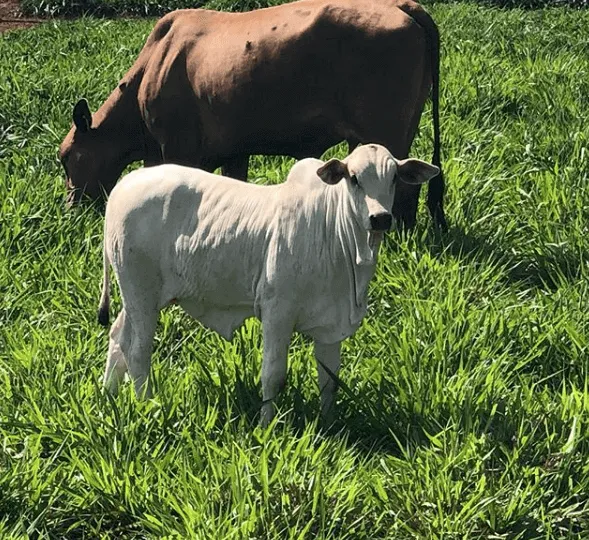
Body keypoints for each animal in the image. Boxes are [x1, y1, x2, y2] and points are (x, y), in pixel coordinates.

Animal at [58, 0, 446, 228]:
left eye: (67, 157)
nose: (70, 205)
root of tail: (400, 6)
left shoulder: (176, 148)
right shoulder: (234, 150)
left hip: (385, 133)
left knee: (402, 186)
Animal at [96, 144, 436, 426]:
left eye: (394, 178)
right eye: (354, 178)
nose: (380, 218)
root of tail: (124, 185)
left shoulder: (330, 324)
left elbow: (329, 381)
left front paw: (329, 426)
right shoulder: (277, 312)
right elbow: (273, 376)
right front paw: (266, 426)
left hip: (137, 296)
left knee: (118, 337)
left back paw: (109, 395)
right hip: (141, 292)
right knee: (138, 351)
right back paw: (147, 404)